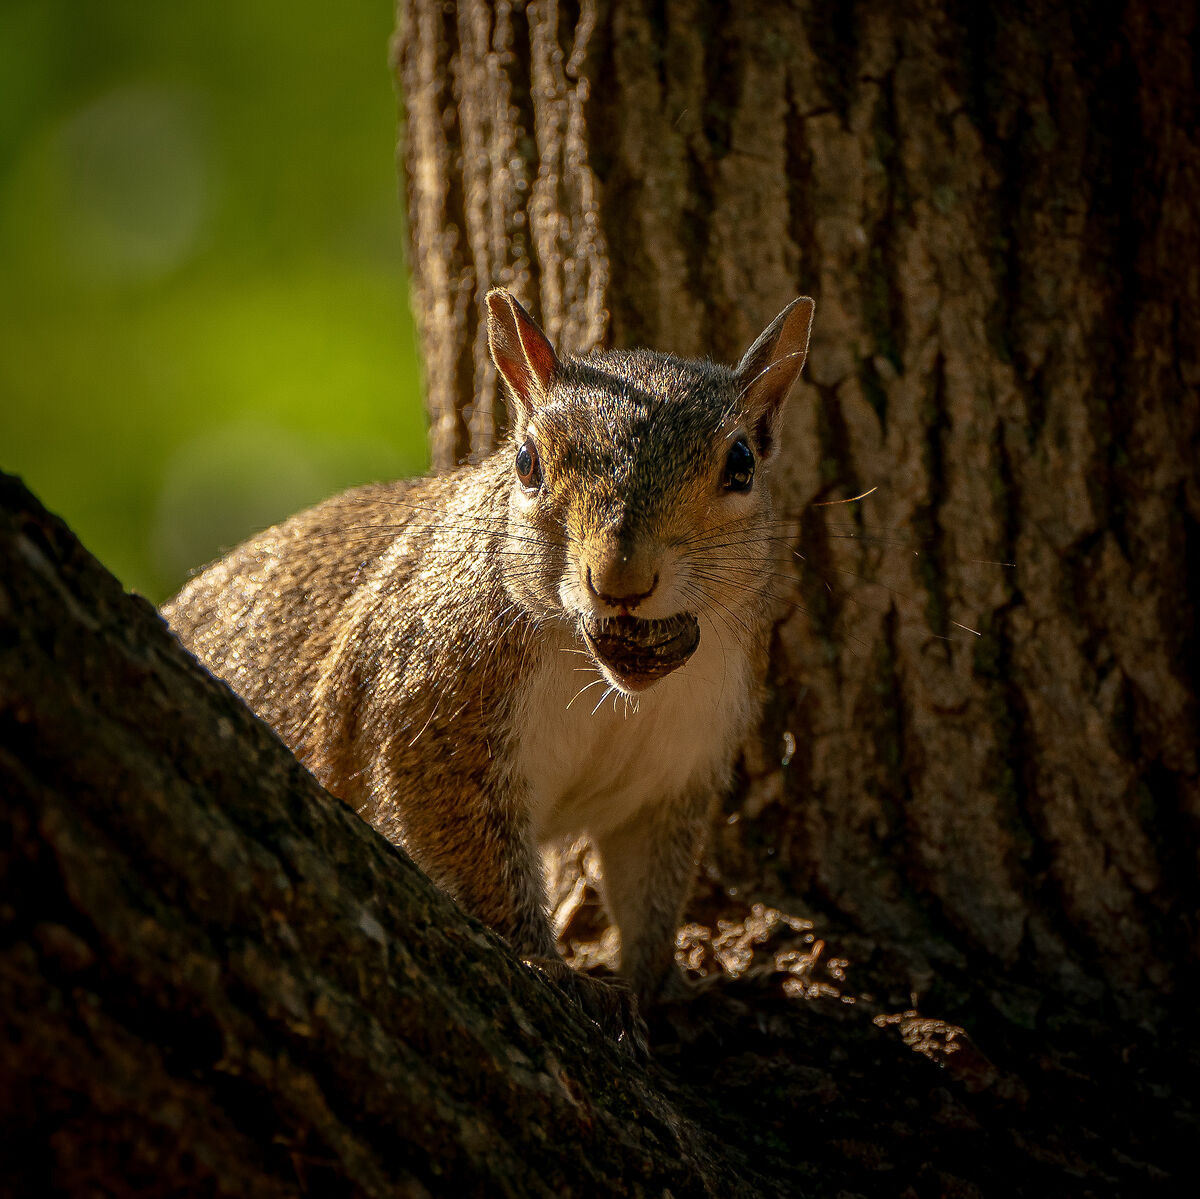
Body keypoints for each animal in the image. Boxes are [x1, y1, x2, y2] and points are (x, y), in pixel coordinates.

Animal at [163, 289, 815, 1037]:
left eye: (741, 464)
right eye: (526, 463)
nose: (621, 577)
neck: (611, 681)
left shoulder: (675, 767)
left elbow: (650, 884)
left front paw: (670, 988)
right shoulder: (433, 715)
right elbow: (473, 855)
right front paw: (554, 968)